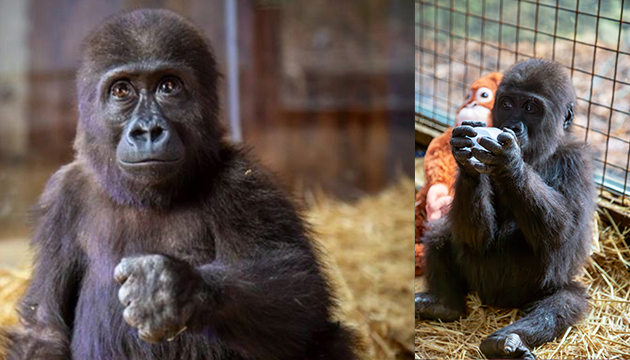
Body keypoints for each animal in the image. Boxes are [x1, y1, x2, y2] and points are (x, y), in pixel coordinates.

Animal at [418, 58, 596, 358]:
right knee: (441, 235)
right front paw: (467, 162)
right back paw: (443, 305)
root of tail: (494, 302)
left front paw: (510, 163)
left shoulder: (577, 161)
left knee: (566, 300)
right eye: (507, 104)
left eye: (530, 108)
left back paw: (505, 341)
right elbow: (475, 237)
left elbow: (562, 232)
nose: (513, 124)